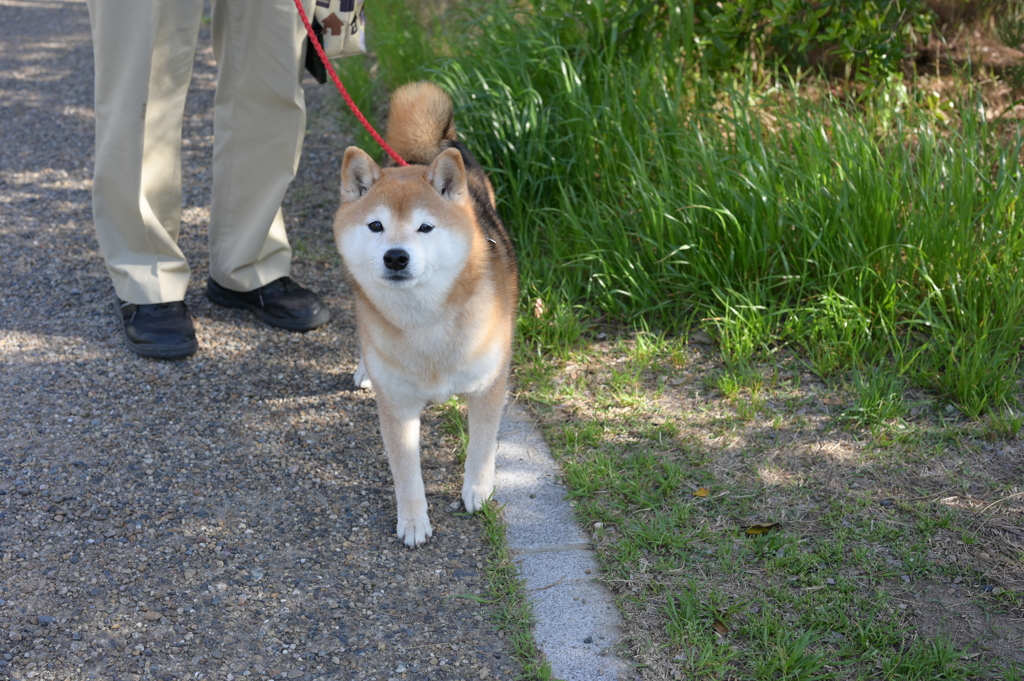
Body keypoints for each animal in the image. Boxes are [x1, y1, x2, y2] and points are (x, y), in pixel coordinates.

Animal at [331, 80, 516, 548]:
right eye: (376, 226)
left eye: (425, 227)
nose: (396, 257)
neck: (426, 323)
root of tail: (424, 152)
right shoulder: (396, 404)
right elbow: (406, 472)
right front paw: (414, 521)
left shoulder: (489, 384)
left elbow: (482, 445)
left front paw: (477, 490)